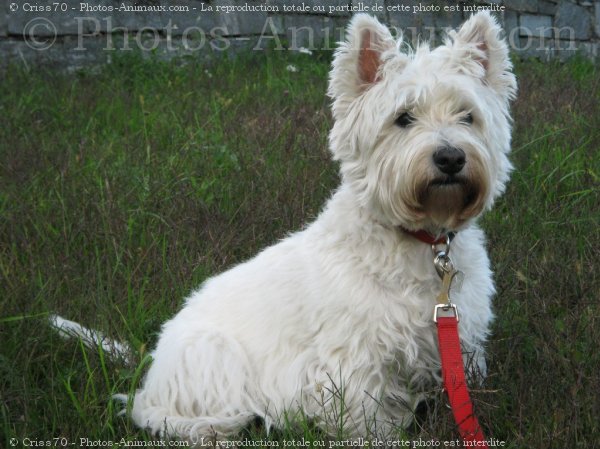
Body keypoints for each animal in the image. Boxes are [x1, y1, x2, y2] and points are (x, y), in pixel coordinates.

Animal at [122, 10, 516, 440]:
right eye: (403, 118)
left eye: (468, 116)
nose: (451, 158)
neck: (421, 241)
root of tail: (151, 379)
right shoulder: (355, 356)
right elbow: (366, 413)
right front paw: (384, 433)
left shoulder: (460, 335)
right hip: (212, 354)